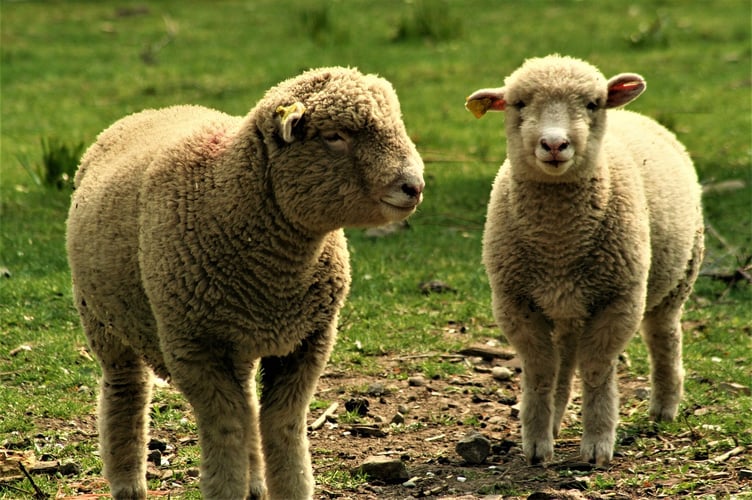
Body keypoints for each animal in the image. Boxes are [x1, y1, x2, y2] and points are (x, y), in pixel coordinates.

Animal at [66, 66, 425, 500]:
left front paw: (290, 488)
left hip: (238, 339)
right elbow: (226, 426)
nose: (414, 185)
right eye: (335, 136)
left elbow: (281, 424)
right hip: (102, 321)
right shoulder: (193, 347)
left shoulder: (309, 341)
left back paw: (254, 482)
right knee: (126, 391)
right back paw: (127, 483)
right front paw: (226, 486)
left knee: (248, 400)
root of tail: (147, 113)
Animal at [466, 55, 703, 467]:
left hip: (679, 275)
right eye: (518, 103)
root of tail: (635, 114)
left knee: (664, 335)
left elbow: (596, 369)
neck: (558, 244)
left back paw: (664, 406)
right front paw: (536, 444)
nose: (554, 143)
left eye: (593, 104)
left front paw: (596, 445)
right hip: (568, 306)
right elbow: (541, 370)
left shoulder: (619, 300)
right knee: (564, 359)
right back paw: (556, 419)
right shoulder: (515, 302)